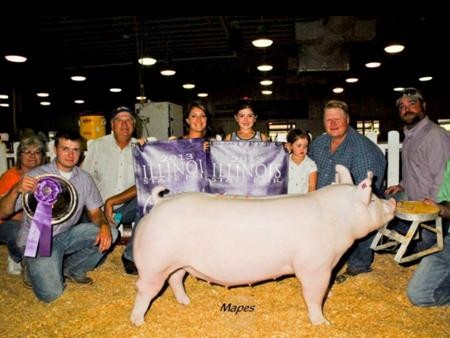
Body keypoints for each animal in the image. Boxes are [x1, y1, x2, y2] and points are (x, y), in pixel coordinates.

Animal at [129, 165, 394, 326]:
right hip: (154, 261)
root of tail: (159, 205)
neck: (338, 218)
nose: (392, 203)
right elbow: (314, 294)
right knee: (144, 288)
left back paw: (186, 302)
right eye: (373, 200)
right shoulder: (315, 266)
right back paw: (138, 322)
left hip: (178, 262)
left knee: (175, 279)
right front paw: (323, 323)